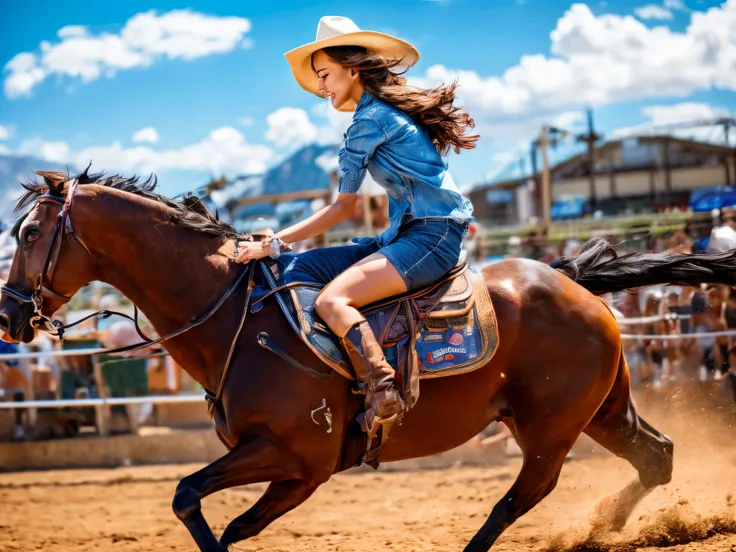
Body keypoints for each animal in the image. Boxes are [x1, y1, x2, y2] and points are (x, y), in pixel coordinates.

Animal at [4, 170, 736, 548]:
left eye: (31, 232)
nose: (10, 316)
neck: (240, 319)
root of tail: (569, 278)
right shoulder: (293, 470)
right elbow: (225, 521)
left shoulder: (299, 458)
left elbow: (193, 500)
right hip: (601, 410)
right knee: (657, 456)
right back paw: (610, 523)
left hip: (549, 430)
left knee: (522, 497)